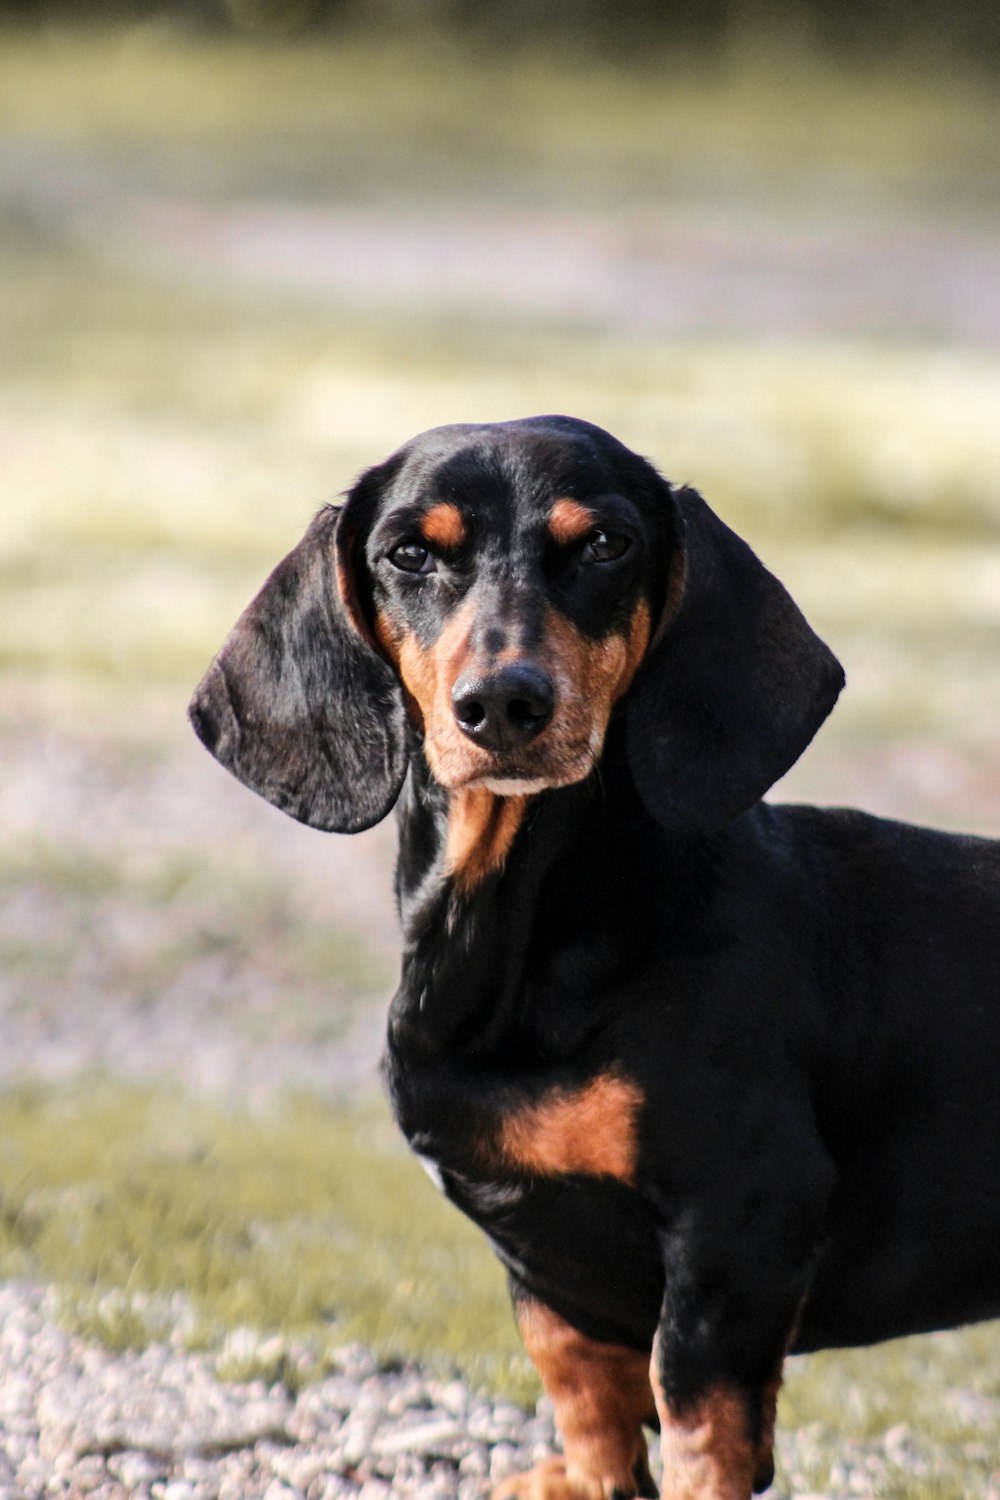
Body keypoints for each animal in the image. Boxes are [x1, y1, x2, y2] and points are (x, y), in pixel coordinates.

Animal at [189, 414, 1000, 1500]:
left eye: (608, 544)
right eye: (408, 554)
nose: (503, 703)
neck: (531, 937)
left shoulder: (741, 1212)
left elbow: (694, 1408)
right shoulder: (542, 1264)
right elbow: (578, 1379)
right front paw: (583, 1476)